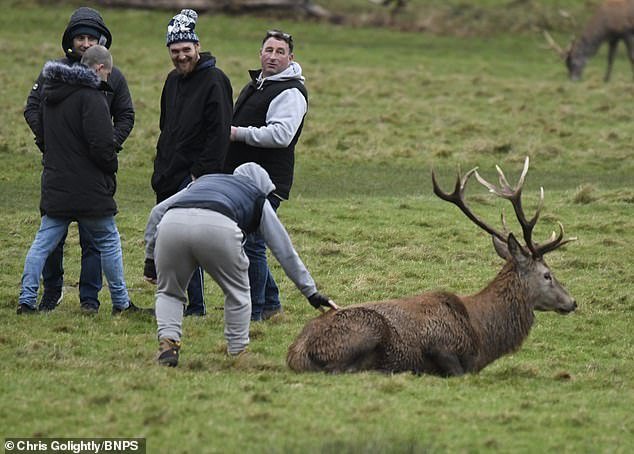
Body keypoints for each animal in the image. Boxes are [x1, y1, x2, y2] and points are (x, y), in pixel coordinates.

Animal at [288, 158, 576, 378]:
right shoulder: (441, 346)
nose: (573, 302)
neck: (482, 334)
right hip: (366, 329)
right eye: (548, 275)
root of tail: (295, 353)